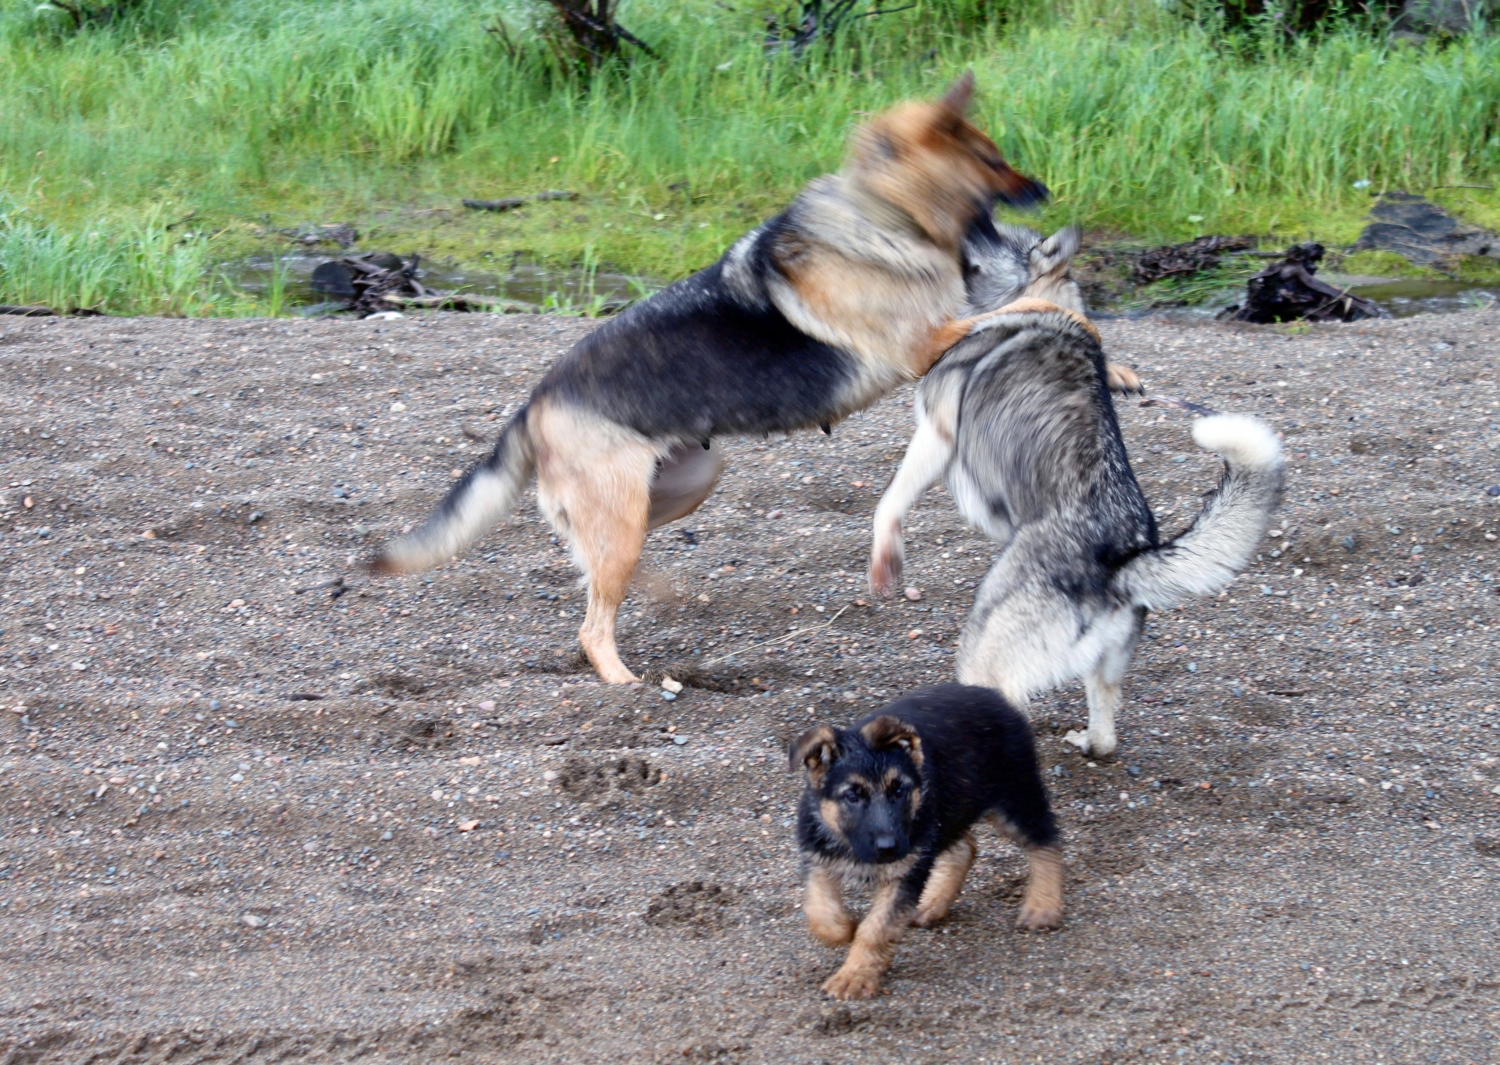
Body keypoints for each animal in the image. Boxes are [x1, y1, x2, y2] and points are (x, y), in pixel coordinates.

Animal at [366, 77, 1044, 693]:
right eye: (991, 160)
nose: (1044, 189)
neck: (885, 211)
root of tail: (534, 404)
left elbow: (1011, 305)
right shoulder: (923, 344)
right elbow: (1027, 305)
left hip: (679, 488)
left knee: (594, 570)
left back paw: (660, 595)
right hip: (625, 513)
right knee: (593, 621)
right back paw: (626, 682)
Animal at [792, 687, 1062, 1008]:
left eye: (899, 790)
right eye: (852, 796)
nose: (889, 847)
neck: (850, 845)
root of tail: (989, 692)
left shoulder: (907, 869)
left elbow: (876, 928)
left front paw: (855, 976)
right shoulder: (817, 857)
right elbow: (818, 909)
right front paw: (842, 930)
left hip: (1013, 797)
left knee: (1046, 839)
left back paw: (1043, 906)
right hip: (951, 810)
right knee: (965, 848)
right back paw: (932, 903)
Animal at [870, 225, 1278, 759]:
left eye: (989, 232)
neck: (1048, 305)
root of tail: (1123, 562)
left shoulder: (936, 436)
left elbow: (890, 502)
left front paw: (884, 556)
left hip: (983, 654)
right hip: (1100, 668)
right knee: (1105, 736)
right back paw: (1088, 741)